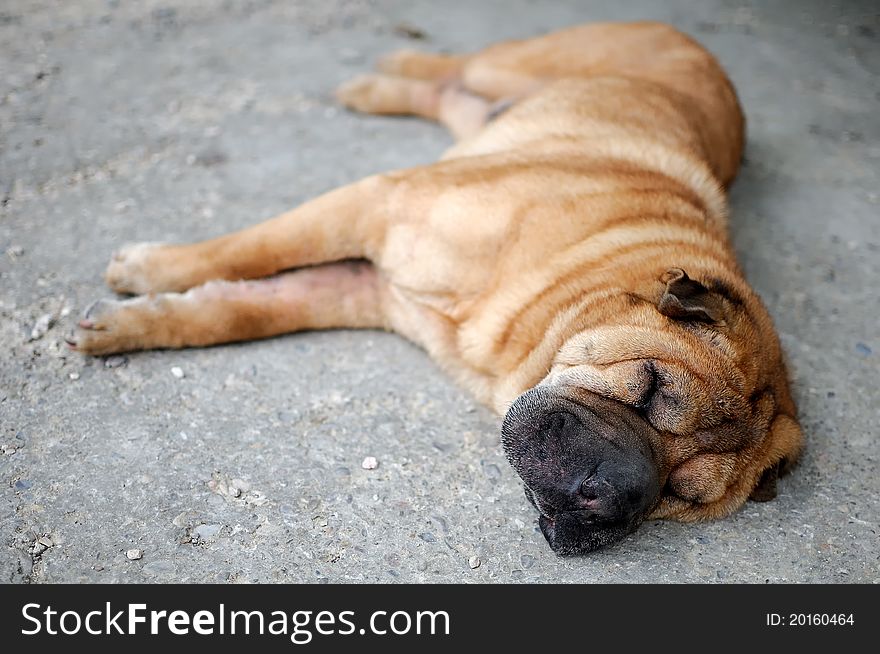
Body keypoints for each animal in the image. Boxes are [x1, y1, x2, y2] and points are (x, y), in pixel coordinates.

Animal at [67, 21, 804, 552]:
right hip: (518, 64)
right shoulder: (375, 206)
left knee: (453, 97)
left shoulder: (364, 287)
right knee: (454, 68)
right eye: (649, 388)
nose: (618, 491)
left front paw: (128, 324)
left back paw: (376, 90)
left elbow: (242, 311)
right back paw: (382, 75)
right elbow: (253, 248)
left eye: (681, 495)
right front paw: (151, 271)